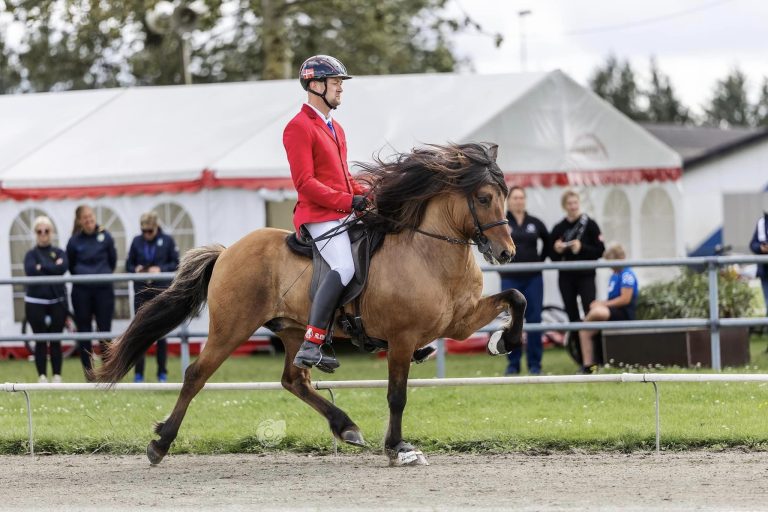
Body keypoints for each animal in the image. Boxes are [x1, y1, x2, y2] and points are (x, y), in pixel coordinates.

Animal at [94, 142, 528, 466]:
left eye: (506, 196)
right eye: (484, 197)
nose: (507, 253)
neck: (428, 252)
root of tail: (228, 251)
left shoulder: (458, 323)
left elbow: (517, 298)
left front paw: (503, 341)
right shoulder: (402, 340)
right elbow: (397, 396)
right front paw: (398, 449)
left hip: (292, 329)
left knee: (294, 379)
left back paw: (345, 425)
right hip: (231, 328)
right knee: (195, 375)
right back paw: (160, 444)